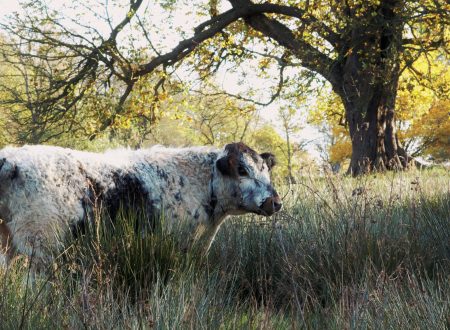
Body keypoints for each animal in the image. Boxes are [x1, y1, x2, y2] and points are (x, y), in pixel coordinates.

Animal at [0, 142, 282, 270]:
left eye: (267, 171)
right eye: (242, 170)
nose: (275, 202)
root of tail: (11, 160)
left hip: (9, 241)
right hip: (40, 243)